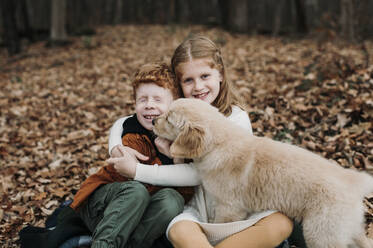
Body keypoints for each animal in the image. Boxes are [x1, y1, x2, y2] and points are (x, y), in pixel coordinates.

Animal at [153, 98, 372, 247]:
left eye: (169, 119)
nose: (154, 121)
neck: (219, 143)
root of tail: (353, 180)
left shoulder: (229, 208)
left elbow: (219, 227)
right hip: (348, 229)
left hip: (321, 233)